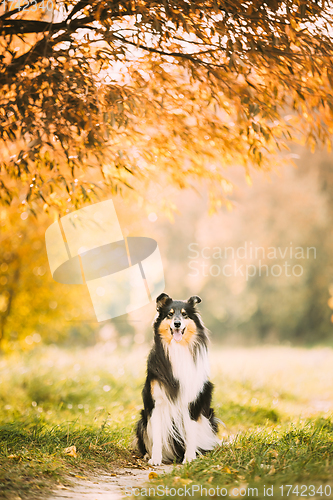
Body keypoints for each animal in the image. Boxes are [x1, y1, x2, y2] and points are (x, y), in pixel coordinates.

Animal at [134, 292, 219, 464]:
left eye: (185, 315)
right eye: (170, 314)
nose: (177, 324)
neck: (177, 348)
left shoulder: (191, 403)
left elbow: (190, 433)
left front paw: (189, 458)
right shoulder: (156, 403)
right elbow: (157, 436)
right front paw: (155, 458)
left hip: (209, 418)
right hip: (142, 419)